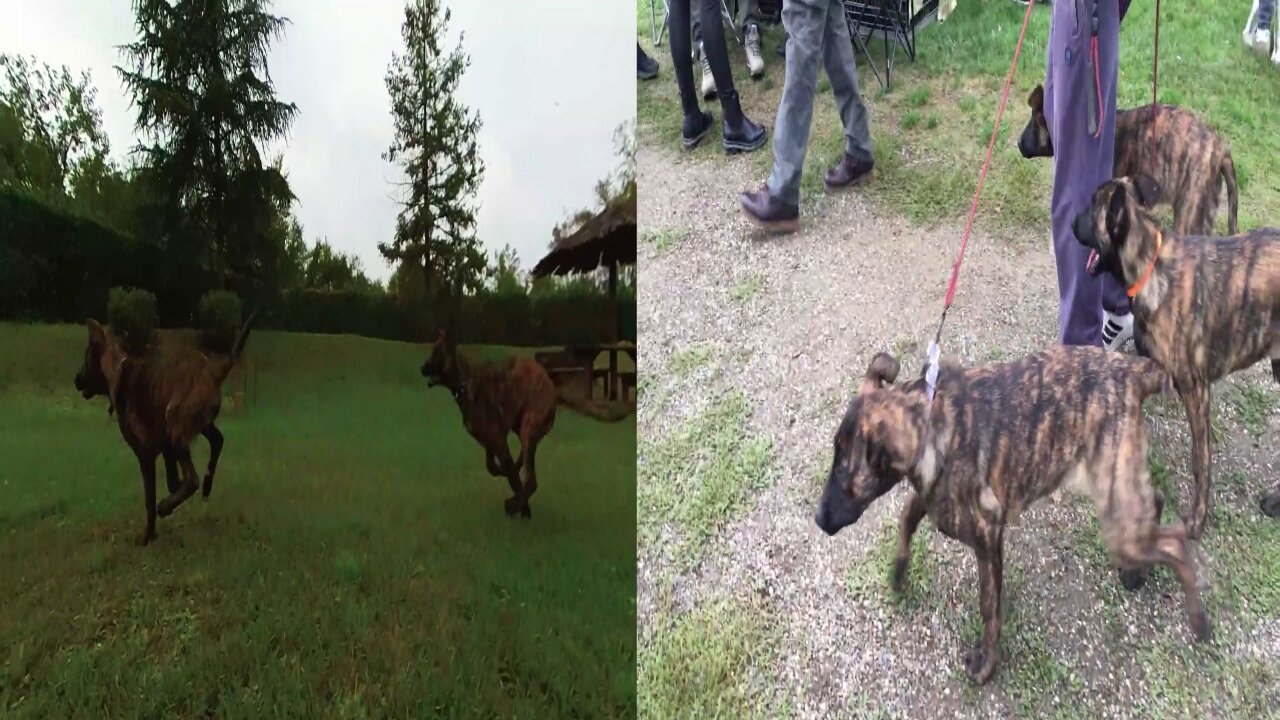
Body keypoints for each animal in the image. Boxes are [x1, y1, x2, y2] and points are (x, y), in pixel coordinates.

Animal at [73, 311, 258, 540]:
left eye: (86, 358)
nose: (76, 379)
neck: (118, 372)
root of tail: (216, 369)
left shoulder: (145, 453)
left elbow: (150, 500)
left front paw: (148, 536)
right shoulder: (166, 445)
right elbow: (172, 480)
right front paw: (172, 498)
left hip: (176, 419)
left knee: (192, 478)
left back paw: (169, 505)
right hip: (193, 423)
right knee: (217, 440)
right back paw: (205, 486)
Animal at [422, 327, 632, 517]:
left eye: (436, 353)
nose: (421, 368)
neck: (465, 382)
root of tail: (553, 387)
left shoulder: (498, 440)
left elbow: (512, 478)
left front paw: (520, 506)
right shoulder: (491, 441)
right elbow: (494, 467)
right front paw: (519, 499)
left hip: (528, 426)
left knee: (531, 480)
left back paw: (513, 504)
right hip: (522, 427)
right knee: (523, 459)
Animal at [814, 348, 1203, 681]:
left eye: (846, 473)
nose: (818, 519)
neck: (931, 419)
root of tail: (1131, 368)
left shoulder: (987, 535)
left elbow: (990, 608)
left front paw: (987, 666)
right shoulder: (932, 495)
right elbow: (907, 519)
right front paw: (898, 570)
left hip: (1120, 522)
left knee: (1176, 547)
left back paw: (1199, 620)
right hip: (1120, 491)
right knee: (1155, 501)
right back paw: (1138, 574)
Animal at [1070, 175, 1280, 530]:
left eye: (1092, 206)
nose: (1070, 222)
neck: (1151, 266)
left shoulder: (1197, 392)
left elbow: (1201, 460)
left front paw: (1197, 517)